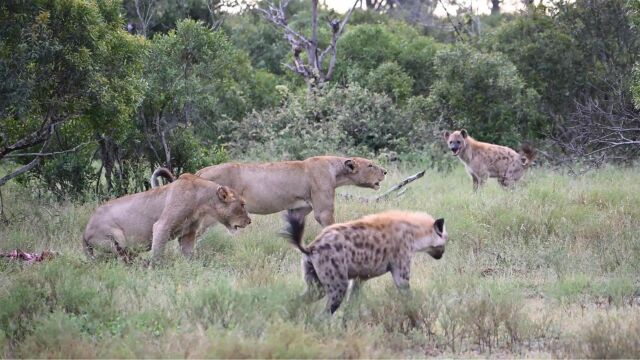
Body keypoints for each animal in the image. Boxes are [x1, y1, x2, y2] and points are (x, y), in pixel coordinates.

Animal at [84, 173, 252, 262]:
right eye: (242, 204)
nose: (250, 221)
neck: (202, 201)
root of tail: (84, 232)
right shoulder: (162, 226)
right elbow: (158, 253)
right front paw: (155, 271)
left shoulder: (188, 233)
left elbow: (189, 254)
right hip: (115, 240)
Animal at [152, 155, 388, 228]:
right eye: (370, 165)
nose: (385, 171)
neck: (335, 169)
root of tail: (200, 172)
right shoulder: (323, 210)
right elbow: (329, 225)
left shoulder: (299, 208)